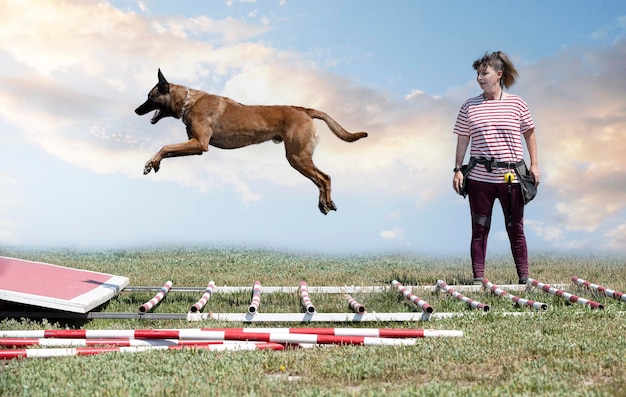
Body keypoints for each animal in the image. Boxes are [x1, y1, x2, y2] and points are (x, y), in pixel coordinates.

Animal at [133, 69, 366, 215]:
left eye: (150, 96)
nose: (135, 110)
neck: (189, 101)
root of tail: (303, 110)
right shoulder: (195, 144)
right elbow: (168, 149)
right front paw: (154, 163)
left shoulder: (199, 143)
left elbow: (165, 146)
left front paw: (151, 163)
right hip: (299, 157)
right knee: (320, 180)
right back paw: (323, 204)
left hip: (297, 156)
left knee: (324, 178)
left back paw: (327, 203)